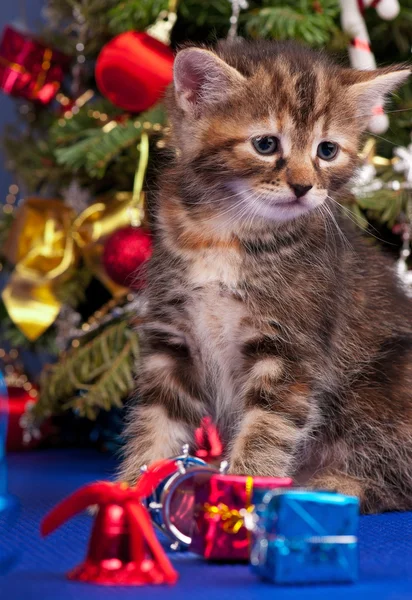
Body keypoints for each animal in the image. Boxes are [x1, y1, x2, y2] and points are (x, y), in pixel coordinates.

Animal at [120, 39, 412, 512]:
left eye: (326, 151)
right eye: (265, 143)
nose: (304, 186)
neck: (223, 235)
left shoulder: (291, 350)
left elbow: (268, 427)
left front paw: (242, 490)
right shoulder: (173, 338)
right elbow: (157, 419)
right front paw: (131, 488)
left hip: (383, 384)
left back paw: (332, 486)